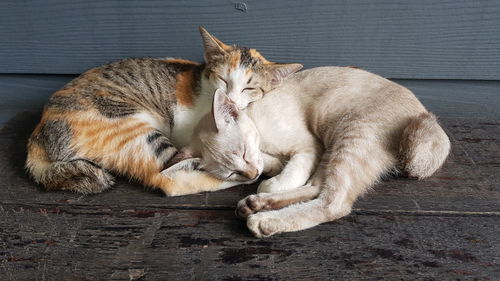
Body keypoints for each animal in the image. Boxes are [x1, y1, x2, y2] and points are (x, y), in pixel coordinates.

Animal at [26, 27, 300, 195]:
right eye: (223, 80)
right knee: (166, 179)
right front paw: (266, 163)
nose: (231, 98)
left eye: (249, 88)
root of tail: (36, 140)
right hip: (134, 128)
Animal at [174, 66, 452, 236]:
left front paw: (267, 180)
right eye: (231, 174)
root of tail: (420, 111)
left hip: (348, 138)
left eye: (242, 152)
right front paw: (268, 172)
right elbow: (275, 168)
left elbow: (282, 177)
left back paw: (263, 218)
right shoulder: (304, 151)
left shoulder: (309, 147)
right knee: (318, 188)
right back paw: (255, 204)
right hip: (335, 145)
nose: (250, 175)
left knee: (333, 203)